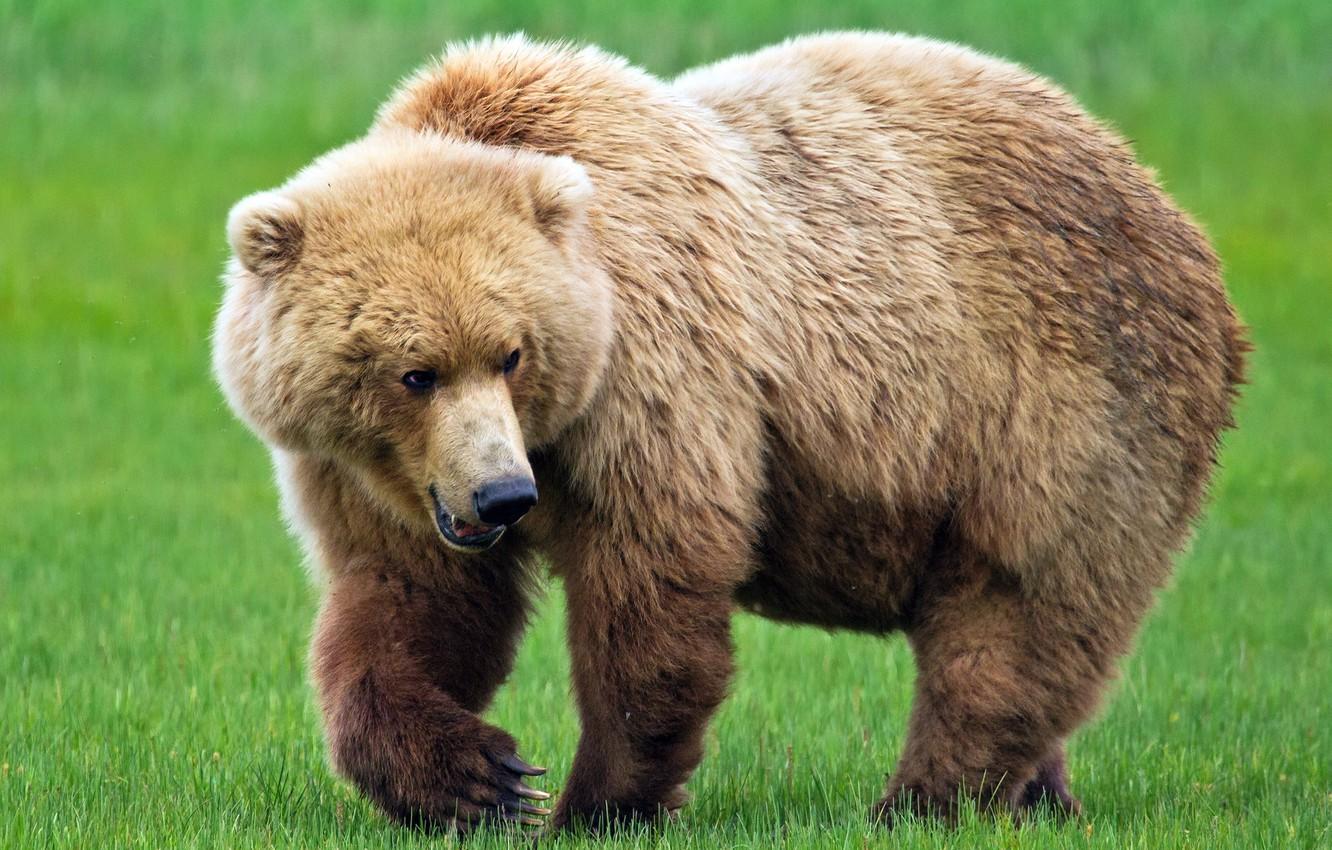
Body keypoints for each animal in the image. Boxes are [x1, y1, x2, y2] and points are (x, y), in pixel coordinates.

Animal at [213, 32, 1246, 833]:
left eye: (511, 353)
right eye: (414, 372)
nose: (504, 498)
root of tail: (1166, 202)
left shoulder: (655, 372)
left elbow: (653, 583)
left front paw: (595, 803)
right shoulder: (374, 472)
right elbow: (408, 602)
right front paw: (480, 778)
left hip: (1060, 399)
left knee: (1017, 606)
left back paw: (925, 800)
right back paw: (1040, 796)